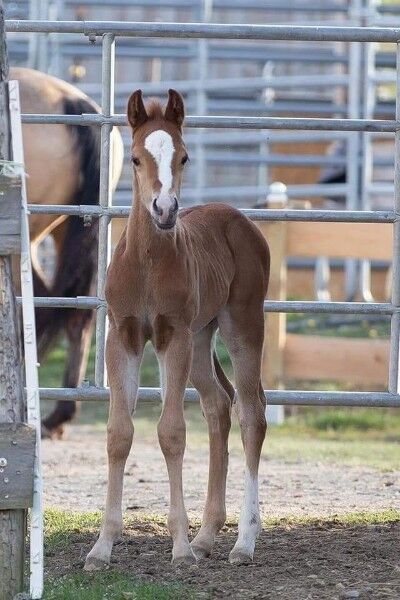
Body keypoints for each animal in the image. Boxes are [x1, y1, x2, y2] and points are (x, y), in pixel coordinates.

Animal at [85, 90, 270, 572]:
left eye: (184, 157)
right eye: (134, 158)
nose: (165, 211)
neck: (147, 263)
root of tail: (239, 219)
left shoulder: (174, 337)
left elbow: (171, 432)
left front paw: (181, 548)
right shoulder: (124, 336)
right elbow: (119, 433)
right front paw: (101, 548)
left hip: (241, 325)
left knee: (252, 413)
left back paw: (243, 542)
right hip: (203, 337)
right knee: (219, 405)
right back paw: (208, 535)